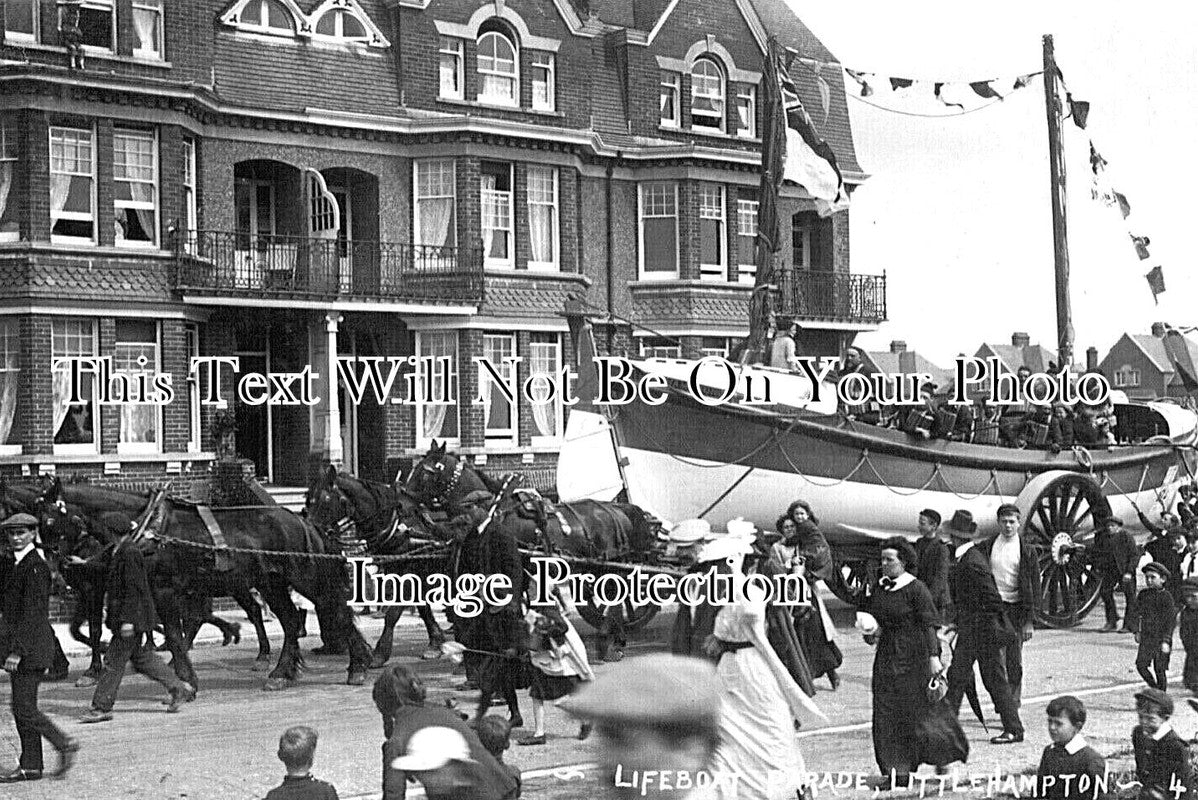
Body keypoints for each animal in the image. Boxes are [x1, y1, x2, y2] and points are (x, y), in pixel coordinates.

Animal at [38, 479, 368, 689]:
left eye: (51, 522)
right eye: (39, 523)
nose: (54, 575)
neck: (145, 527)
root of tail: (303, 521)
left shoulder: (164, 588)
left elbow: (173, 632)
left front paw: (185, 676)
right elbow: (158, 629)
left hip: (306, 578)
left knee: (335, 610)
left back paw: (358, 666)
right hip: (271, 584)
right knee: (289, 620)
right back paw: (281, 673)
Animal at [306, 464, 450, 665]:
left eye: (325, 500)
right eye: (309, 499)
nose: (309, 531)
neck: (397, 525)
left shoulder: (410, 571)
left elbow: (393, 613)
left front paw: (380, 653)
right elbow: (423, 608)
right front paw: (436, 642)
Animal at [407, 440, 661, 661]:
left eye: (426, 472)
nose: (403, 501)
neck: (493, 512)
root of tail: (619, 509)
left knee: (616, 600)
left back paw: (610, 643)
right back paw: (614, 640)